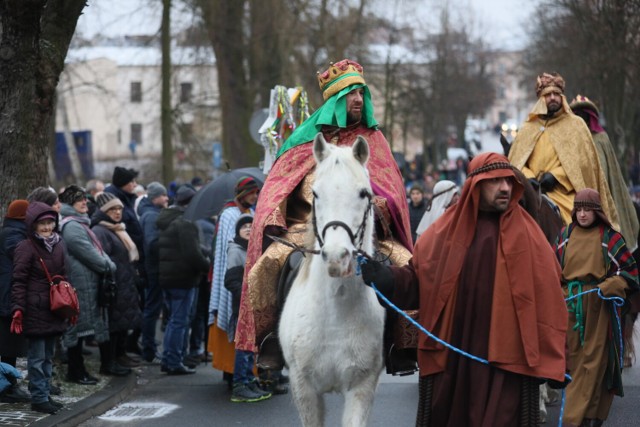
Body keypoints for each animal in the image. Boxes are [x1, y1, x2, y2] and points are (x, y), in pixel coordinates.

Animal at [278, 132, 384, 426]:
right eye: (315, 193)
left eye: (363, 193)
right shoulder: (304, 388)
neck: (336, 312)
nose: (337, 257)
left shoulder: (362, 386)